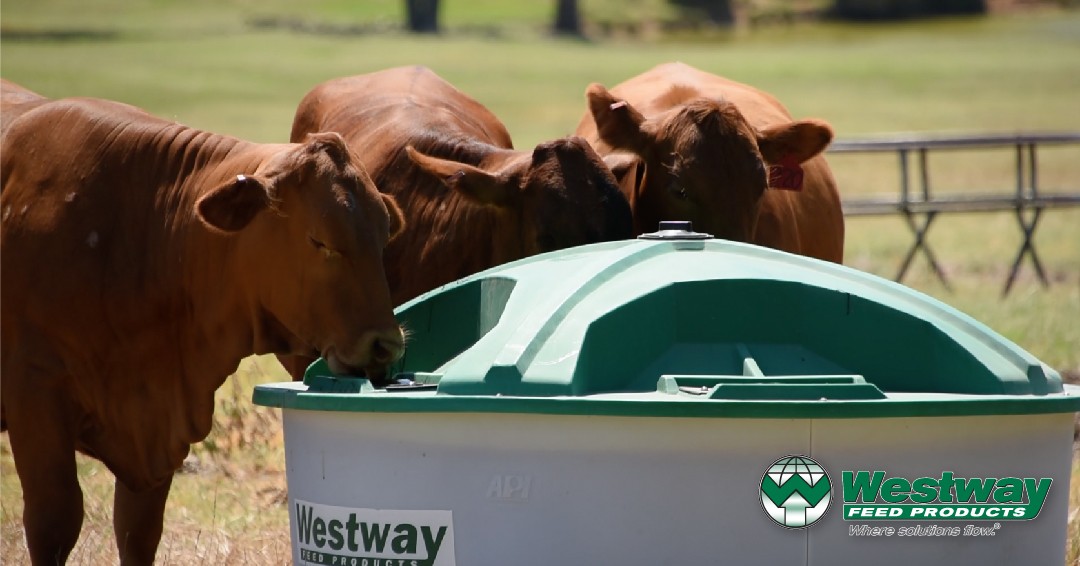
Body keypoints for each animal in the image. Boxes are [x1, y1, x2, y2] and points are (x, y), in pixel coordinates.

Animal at [1, 95, 406, 561]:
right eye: (320, 241)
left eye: (383, 238)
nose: (385, 346)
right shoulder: (33, 387)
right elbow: (55, 518)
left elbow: (137, 531)